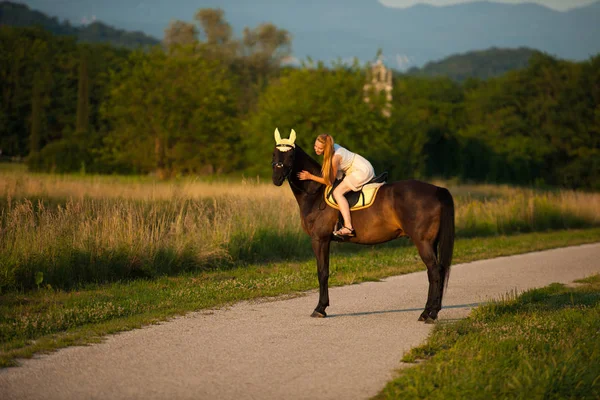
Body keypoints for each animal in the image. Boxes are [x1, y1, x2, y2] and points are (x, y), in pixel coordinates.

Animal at [272, 130, 454, 324]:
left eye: (291, 155)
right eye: (274, 154)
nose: (276, 178)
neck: (315, 193)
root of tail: (437, 190)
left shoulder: (319, 240)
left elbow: (322, 272)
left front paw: (320, 308)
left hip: (423, 242)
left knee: (434, 271)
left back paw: (428, 314)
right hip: (432, 242)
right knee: (438, 270)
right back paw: (431, 312)